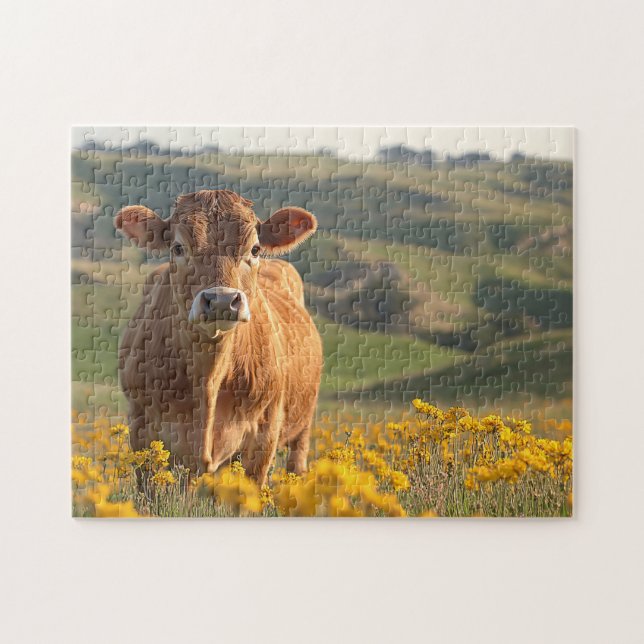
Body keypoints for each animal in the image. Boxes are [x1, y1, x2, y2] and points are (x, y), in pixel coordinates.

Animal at [115, 189, 323, 485]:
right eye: (178, 248)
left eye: (255, 249)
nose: (222, 300)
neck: (207, 379)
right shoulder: (141, 426)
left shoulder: (264, 435)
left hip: (304, 424)